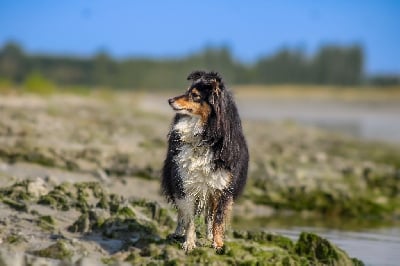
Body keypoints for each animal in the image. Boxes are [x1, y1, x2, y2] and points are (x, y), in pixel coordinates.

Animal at [161, 69, 248, 252]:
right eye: (187, 91)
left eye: (194, 95)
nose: (169, 100)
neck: (204, 134)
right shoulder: (185, 183)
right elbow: (189, 218)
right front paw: (189, 243)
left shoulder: (223, 187)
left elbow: (218, 219)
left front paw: (218, 243)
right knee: (182, 214)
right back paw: (177, 232)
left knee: (210, 214)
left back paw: (209, 236)